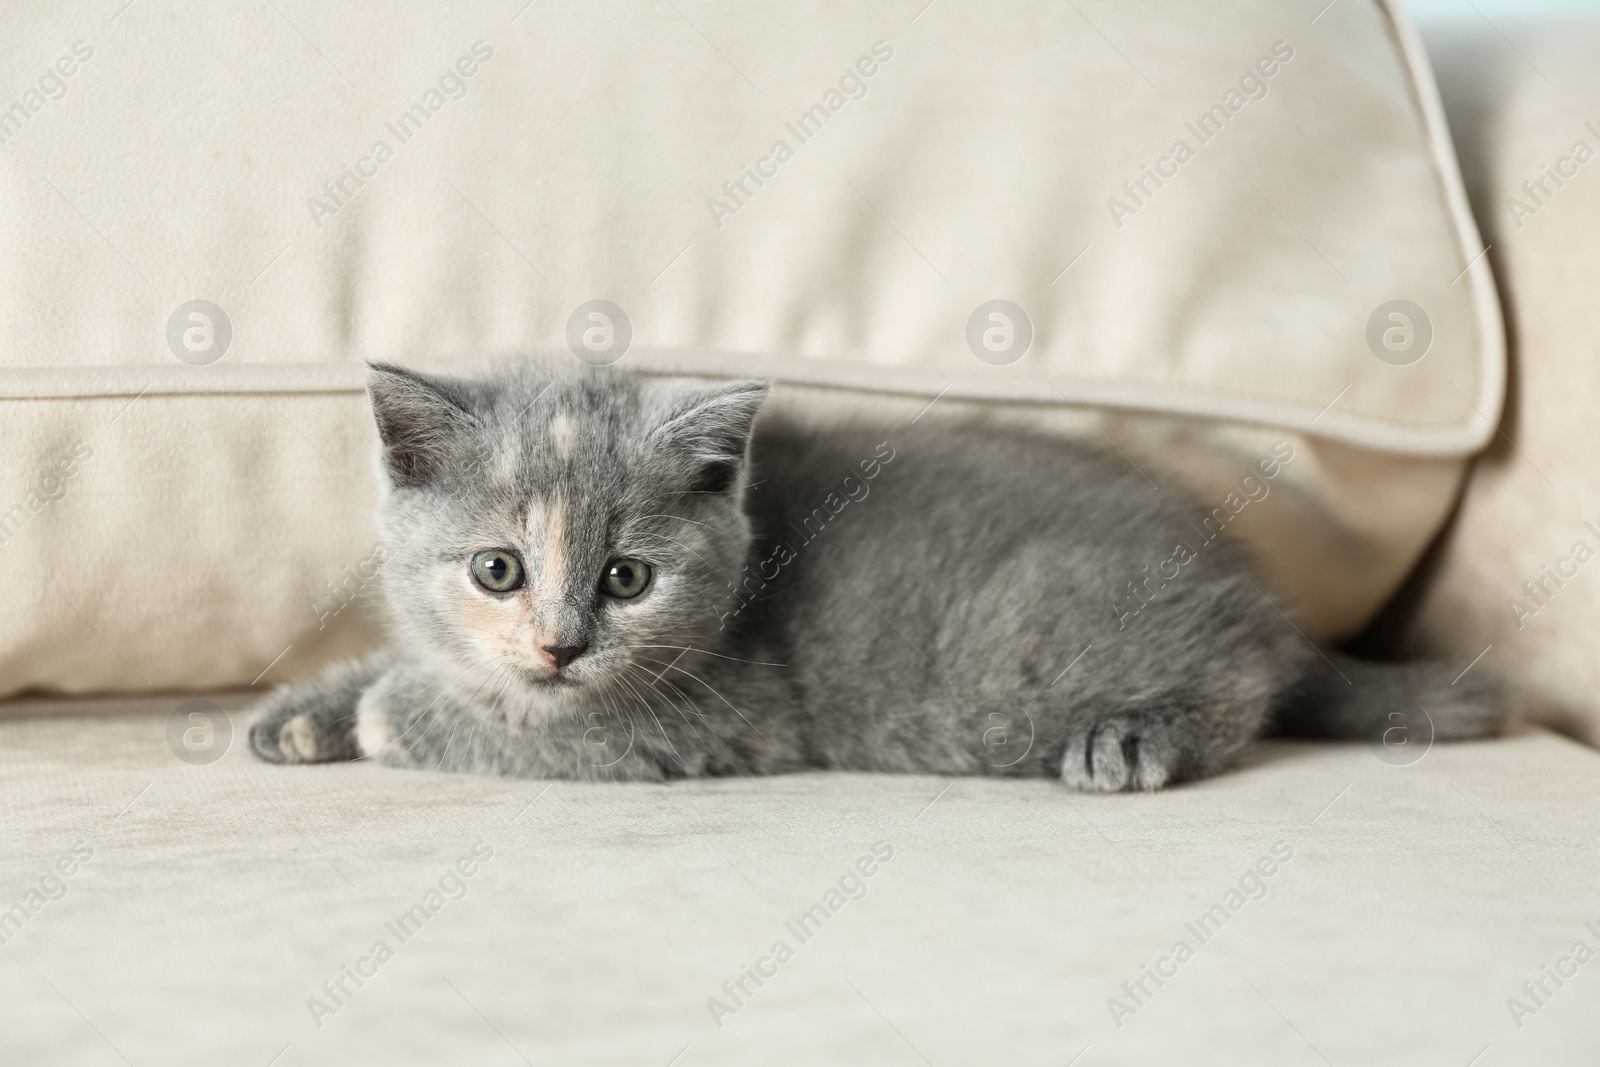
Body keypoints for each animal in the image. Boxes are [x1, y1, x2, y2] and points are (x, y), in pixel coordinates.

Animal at [246, 363, 1497, 790]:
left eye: (627, 577)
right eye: (497, 567)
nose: (560, 643)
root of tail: (1257, 591)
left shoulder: (716, 716)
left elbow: (520, 725)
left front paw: (382, 710)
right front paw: (301, 709)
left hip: (1029, 652)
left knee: (1245, 682)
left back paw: (1136, 735)